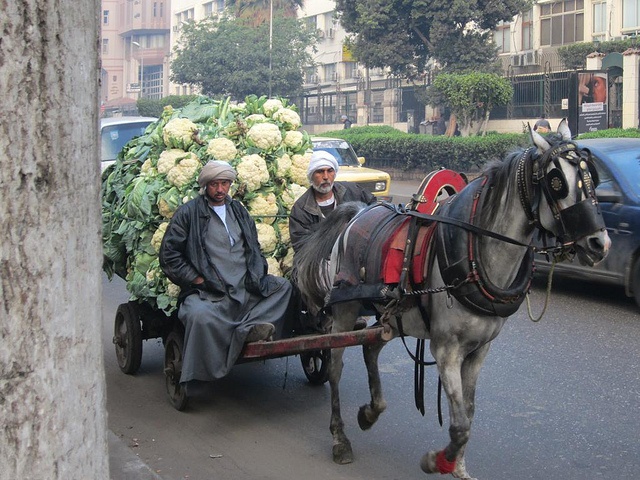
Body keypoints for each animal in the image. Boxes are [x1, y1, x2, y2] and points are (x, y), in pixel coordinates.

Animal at [294, 121, 608, 480]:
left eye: (591, 176)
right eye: (557, 182)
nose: (600, 243)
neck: (476, 250)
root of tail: (358, 212)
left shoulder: (479, 350)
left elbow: (468, 414)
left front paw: (457, 466)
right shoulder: (446, 350)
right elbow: (459, 426)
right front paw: (437, 460)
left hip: (395, 316)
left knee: (371, 348)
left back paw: (371, 412)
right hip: (344, 310)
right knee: (335, 368)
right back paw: (340, 438)